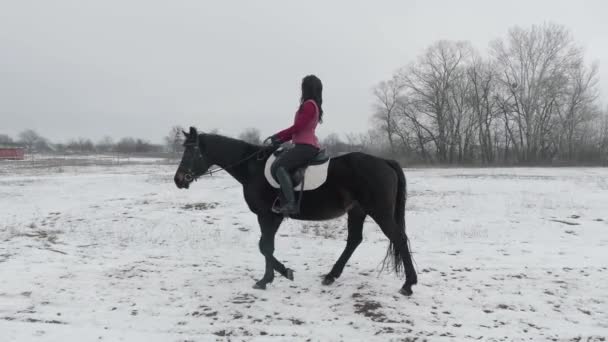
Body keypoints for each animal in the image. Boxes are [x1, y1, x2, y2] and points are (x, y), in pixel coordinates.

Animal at [173, 127, 416, 296]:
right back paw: (331, 276)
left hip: (379, 212)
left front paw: (270, 278)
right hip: (357, 211)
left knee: (399, 238)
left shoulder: (268, 215)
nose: (178, 180)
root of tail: (385, 162)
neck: (252, 169)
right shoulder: (273, 216)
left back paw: (408, 284)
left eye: (191, 151)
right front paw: (276, 275)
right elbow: (265, 246)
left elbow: (265, 246)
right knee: (354, 240)